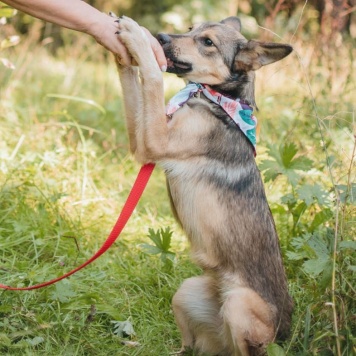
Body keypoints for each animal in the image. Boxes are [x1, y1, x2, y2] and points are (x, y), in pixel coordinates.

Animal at [115, 16, 294, 356]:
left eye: (207, 42)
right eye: (190, 29)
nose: (161, 36)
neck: (219, 99)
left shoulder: (155, 142)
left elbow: (153, 78)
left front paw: (137, 38)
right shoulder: (141, 141)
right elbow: (134, 83)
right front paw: (123, 50)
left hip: (238, 304)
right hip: (186, 292)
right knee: (190, 345)